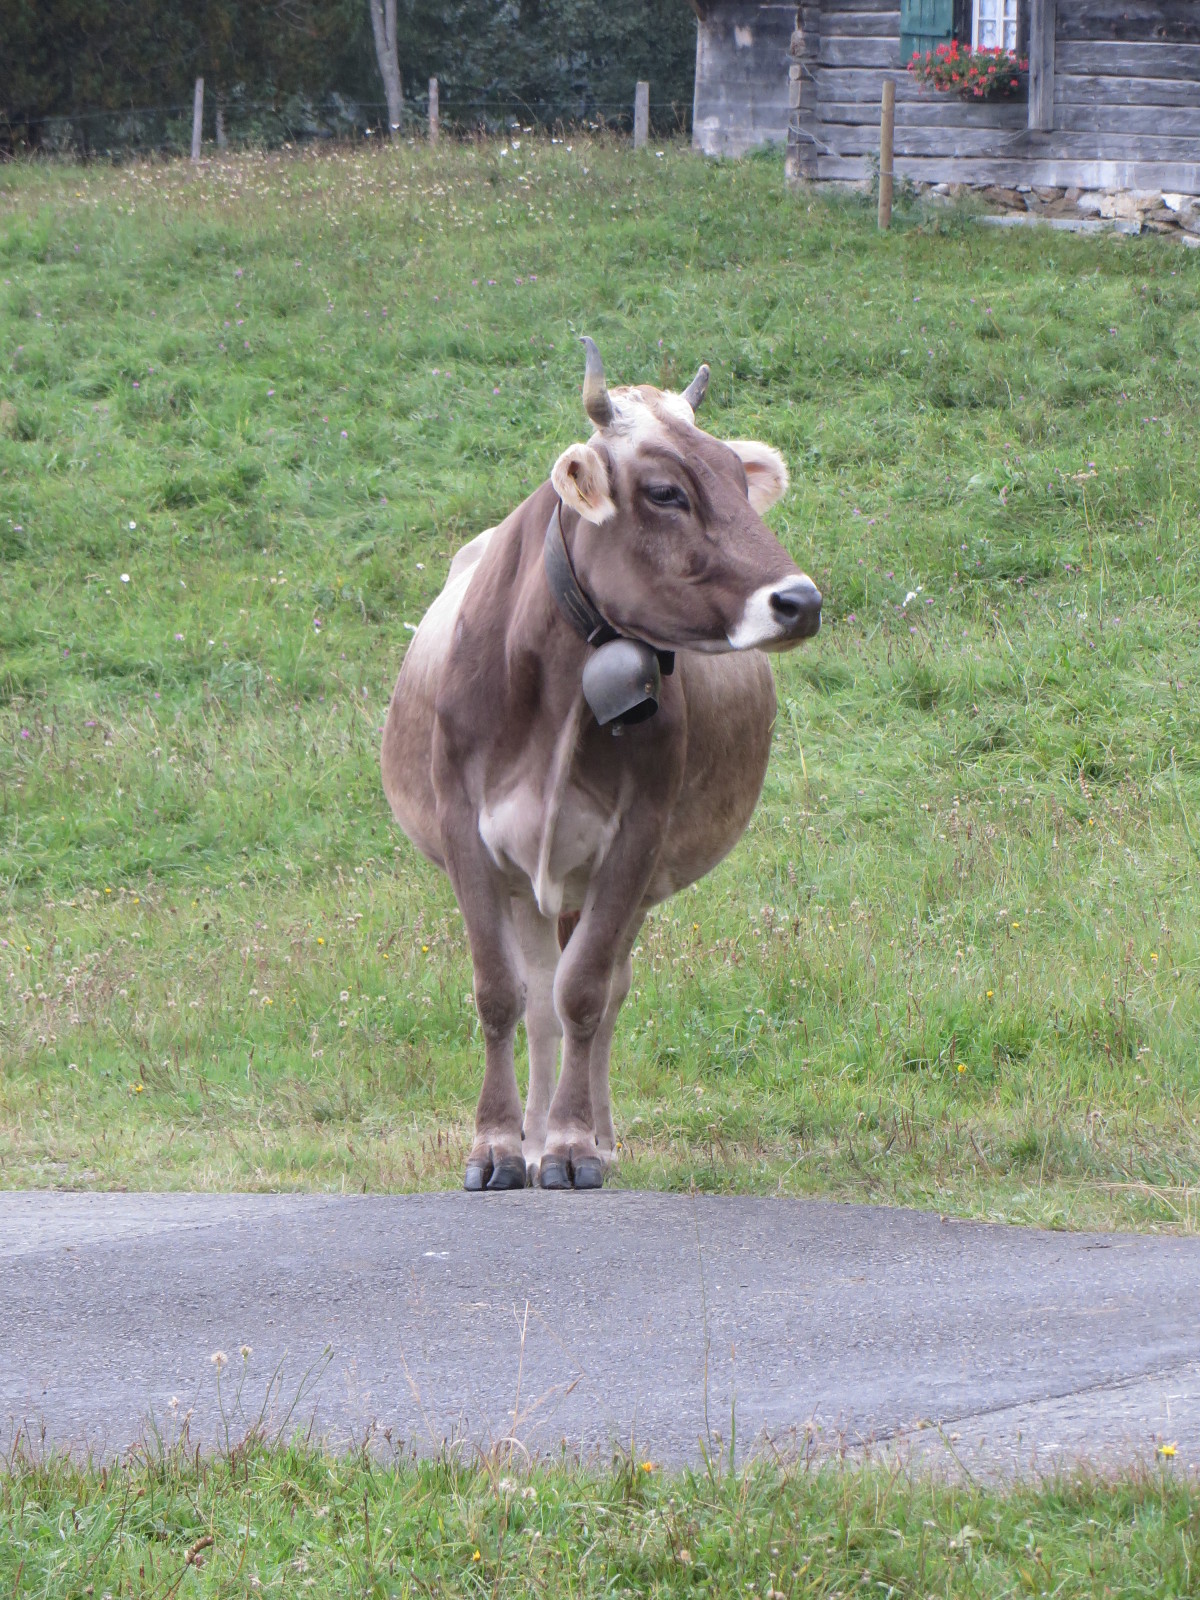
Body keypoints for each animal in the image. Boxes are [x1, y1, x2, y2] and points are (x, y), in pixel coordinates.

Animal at [381, 339, 821, 1191]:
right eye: (666, 492)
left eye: (735, 475)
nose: (801, 601)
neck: (549, 693)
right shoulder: (465, 833)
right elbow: (500, 994)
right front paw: (496, 1146)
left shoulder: (636, 838)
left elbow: (585, 993)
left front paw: (574, 1145)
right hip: (530, 880)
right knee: (539, 1001)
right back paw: (527, 1139)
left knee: (602, 991)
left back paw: (584, 1135)